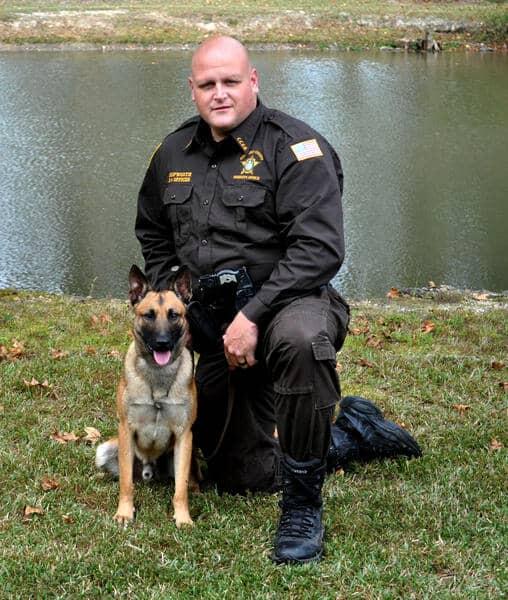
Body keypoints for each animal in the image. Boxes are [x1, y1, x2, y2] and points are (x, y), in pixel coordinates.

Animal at [95, 264, 196, 528]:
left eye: (173, 314)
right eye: (149, 315)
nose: (162, 343)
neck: (158, 380)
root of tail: (149, 469)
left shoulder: (184, 436)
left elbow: (180, 489)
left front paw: (183, 517)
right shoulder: (126, 430)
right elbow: (126, 483)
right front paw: (124, 512)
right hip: (106, 449)